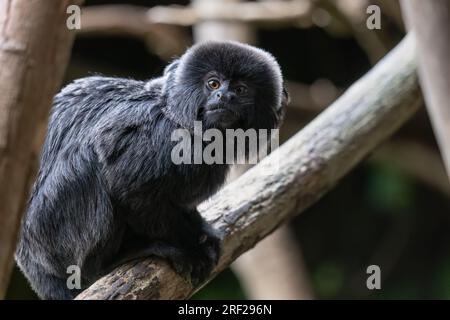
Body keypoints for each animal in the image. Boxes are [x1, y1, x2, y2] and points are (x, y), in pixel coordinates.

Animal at [15, 40, 288, 300]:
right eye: (213, 84)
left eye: (240, 90)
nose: (224, 96)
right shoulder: (157, 135)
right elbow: (129, 187)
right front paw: (190, 246)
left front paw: (199, 228)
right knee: (88, 160)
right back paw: (111, 261)